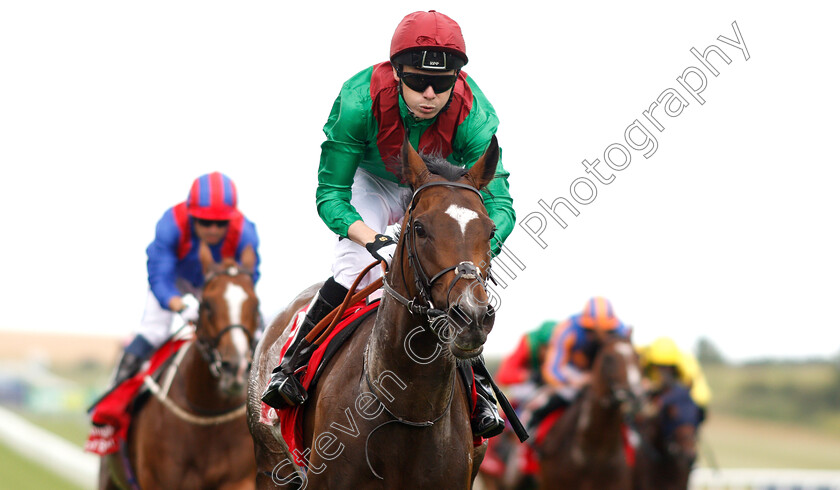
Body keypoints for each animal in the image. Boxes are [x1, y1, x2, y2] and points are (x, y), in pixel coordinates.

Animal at [101, 243, 260, 488]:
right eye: (207, 305)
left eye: (256, 305)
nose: (236, 368)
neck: (208, 417)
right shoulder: (158, 481)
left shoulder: (239, 480)